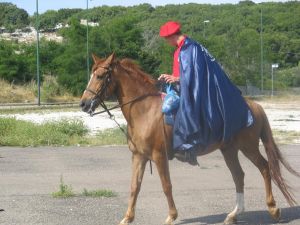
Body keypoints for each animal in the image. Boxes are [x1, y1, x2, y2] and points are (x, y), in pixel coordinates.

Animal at [78, 53, 298, 225]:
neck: (144, 111)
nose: (84, 104)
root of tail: (254, 105)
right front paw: (127, 217)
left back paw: (273, 209)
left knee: (265, 168)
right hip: (229, 150)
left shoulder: (159, 156)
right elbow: (134, 187)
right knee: (239, 175)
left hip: (249, 147)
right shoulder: (139, 156)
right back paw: (233, 215)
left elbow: (166, 186)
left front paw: (171, 216)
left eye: (100, 76)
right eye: (91, 75)